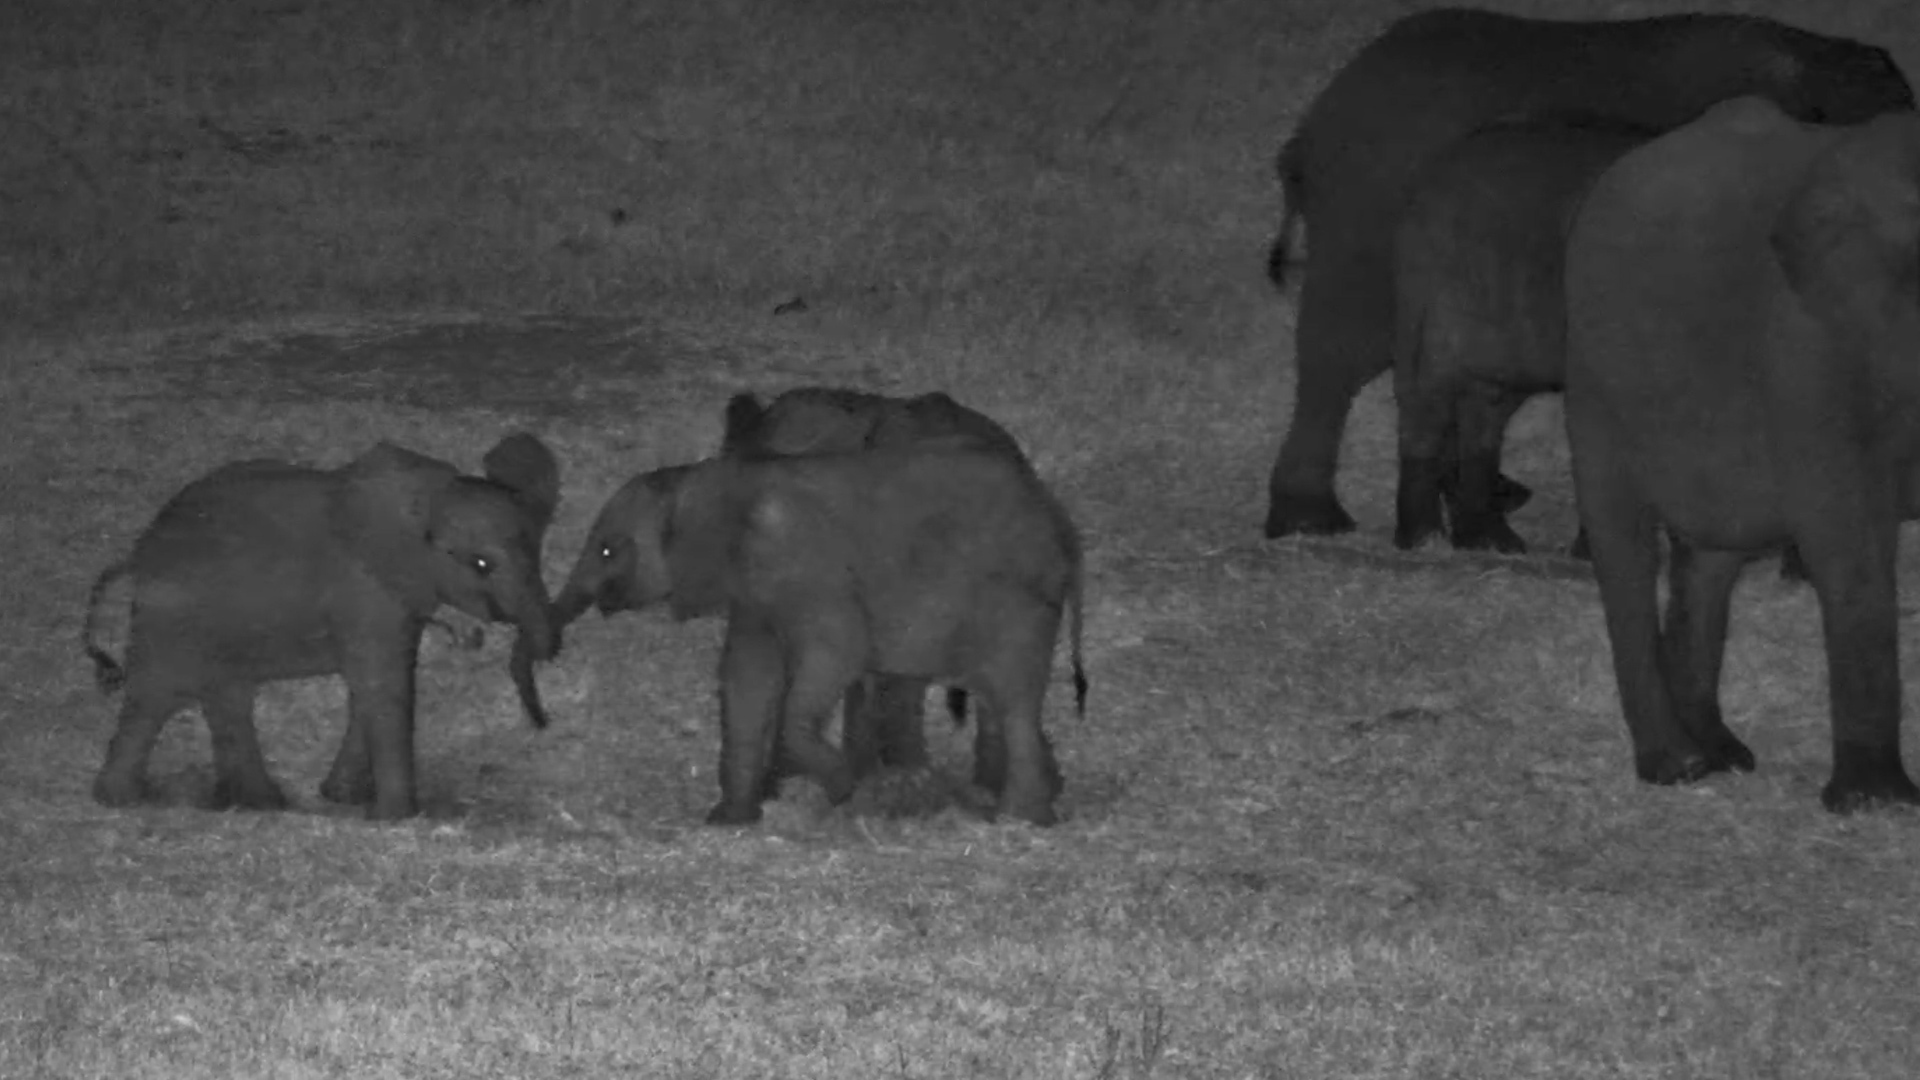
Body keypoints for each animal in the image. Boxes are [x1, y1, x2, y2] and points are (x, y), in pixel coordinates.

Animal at [83, 434, 562, 819]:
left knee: (228, 696)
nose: (541, 720)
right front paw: (395, 818)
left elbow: (379, 684)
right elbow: (383, 685)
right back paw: (120, 800)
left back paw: (260, 804)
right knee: (156, 695)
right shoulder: (365, 591)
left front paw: (341, 797)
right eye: (481, 565)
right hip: (169, 616)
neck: (429, 495)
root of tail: (136, 556)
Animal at [551, 449, 1087, 827]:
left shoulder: (805, 565)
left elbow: (837, 652)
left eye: (607, 549)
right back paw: (1027, 797)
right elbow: (746, 677)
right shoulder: (754, 590)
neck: (720, 480)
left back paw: (1019, 819)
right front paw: (728, 821)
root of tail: (1062, 520)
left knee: (1012, 699)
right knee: (1001, 698)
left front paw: (844, 789)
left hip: (1017, 599)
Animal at [1563, 97, 1920, 812]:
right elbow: (1847, 537)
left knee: (1709, 560)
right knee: (1628, 548)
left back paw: (1721, 755)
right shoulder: (1808, 351)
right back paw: (1677, 767)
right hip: (1595, 378)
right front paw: (1876, 803)